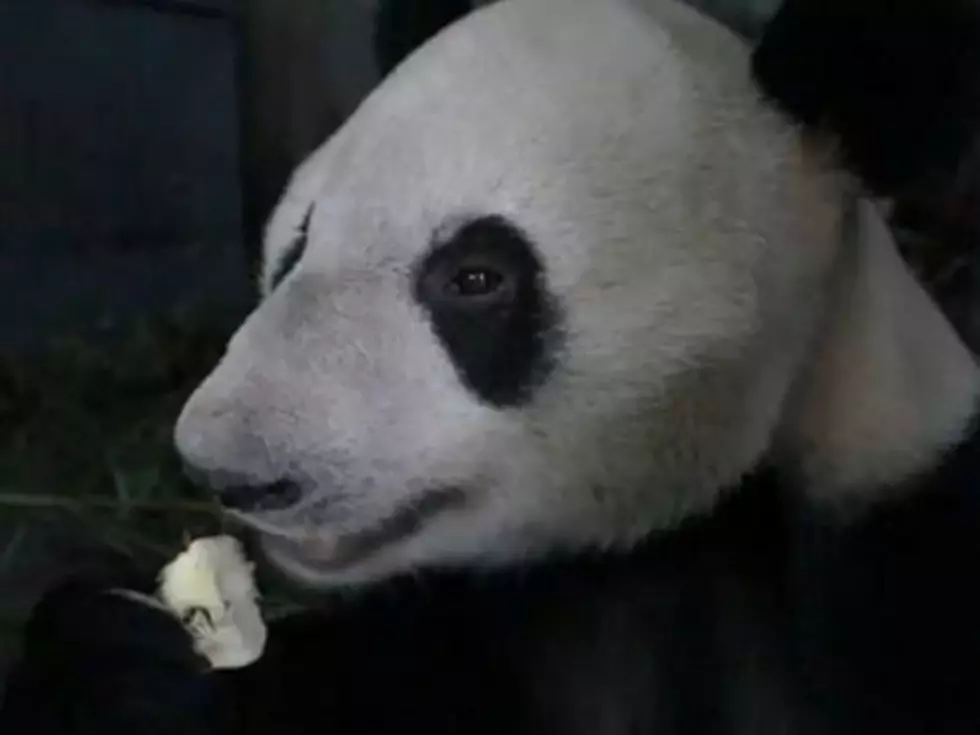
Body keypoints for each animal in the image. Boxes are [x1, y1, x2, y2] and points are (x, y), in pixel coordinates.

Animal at [1, 0, 980, 732]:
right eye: (297, 244)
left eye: (475, 277)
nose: (230, 468)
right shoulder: (486, 626)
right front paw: (115, 652)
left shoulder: (894, 565)